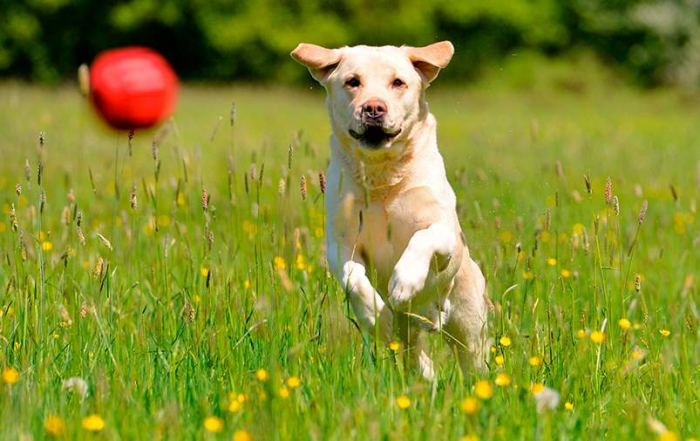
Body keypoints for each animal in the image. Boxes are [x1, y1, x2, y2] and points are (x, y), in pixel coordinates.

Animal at [290, 42, 486, 378]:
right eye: (352, 81)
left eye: (398, 82)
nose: (373, 108)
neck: (383, 177)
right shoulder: (340, 244)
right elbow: (354, 280)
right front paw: (377, 316)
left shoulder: (445, 233)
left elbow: (422, 238)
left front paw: (404, 282)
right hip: (411, 339)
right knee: (416, 356)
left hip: (470, 328)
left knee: (473, 360)